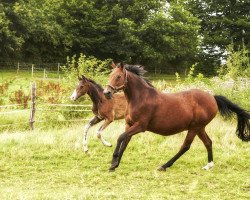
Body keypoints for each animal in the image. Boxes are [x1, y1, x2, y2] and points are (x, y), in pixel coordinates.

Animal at [102, 62, 249, 172]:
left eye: (118, 76)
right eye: (110, 75)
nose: (106, 92)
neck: (140, 98)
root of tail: (213, 98)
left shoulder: (140, 126)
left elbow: (120, 137)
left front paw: (113, 161)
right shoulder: (129, 124)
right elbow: (125, 142)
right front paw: (114, 165)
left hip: (194, 128)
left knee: (185, 146)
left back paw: (164, 166)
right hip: (200, 128)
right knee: (208, 142)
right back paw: (209, 165)